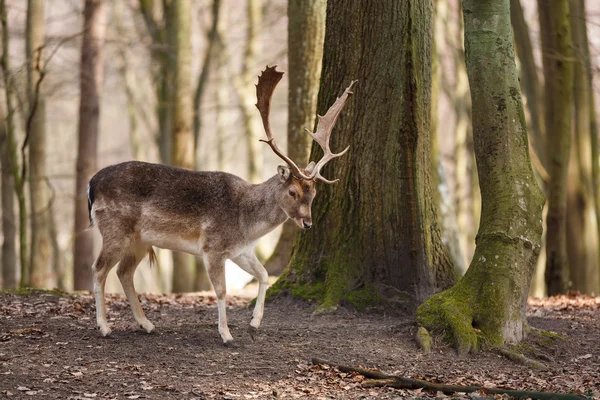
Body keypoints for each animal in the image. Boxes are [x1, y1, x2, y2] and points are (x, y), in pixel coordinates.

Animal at [86, 67, 354, 346]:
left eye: (314, 193)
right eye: (293, 191)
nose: (307, 223)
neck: (246, 224)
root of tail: (92, 184)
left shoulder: (240, 251)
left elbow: (263, 275)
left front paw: (254, 324)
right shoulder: (212, 248)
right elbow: (222, 290)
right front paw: (227, 335)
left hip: (140, 240)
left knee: (123, 272)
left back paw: (147, 324)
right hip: (115, 229)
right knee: (99, 269)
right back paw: (104, 327)